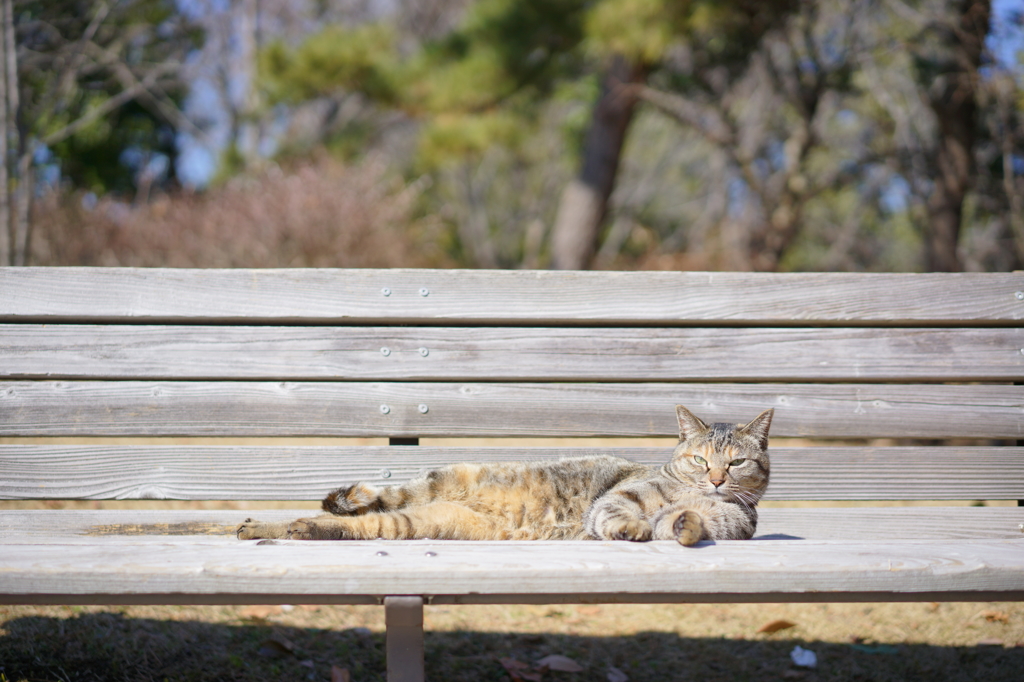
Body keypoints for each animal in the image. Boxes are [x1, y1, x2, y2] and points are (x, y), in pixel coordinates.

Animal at [234, 403, 774, 548]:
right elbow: (619, 514)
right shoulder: (618, 499)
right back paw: (263, 525)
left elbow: (687, 524)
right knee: (349, 511)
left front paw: (681, 522)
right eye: (700, 460)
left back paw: (272, 528)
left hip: (418, 521)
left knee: (346, 525)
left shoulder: (726, 524)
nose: (717, 480)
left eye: (736, 463)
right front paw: (633, 529)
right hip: (426, 487)